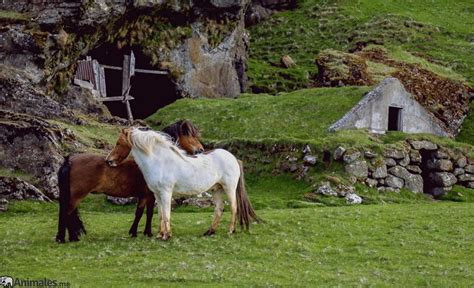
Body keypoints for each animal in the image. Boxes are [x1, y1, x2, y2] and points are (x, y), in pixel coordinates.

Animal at [56, 119, 204, 243]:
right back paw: (66, 238)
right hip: (76, 196)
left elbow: (142, 213)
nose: (201, 150)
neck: (155, 159)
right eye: (191, 135)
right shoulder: (149, 195)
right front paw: (145, 232)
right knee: (67, 212)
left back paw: (68, 237)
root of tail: (69, 160)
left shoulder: (146, 196)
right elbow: (146, 213)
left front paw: (137, 232)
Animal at [107, 127, 260, 240]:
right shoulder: (157, 194)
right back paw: (209, 232)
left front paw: (166, 236)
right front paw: (160, 234)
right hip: (216, 189)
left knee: (233, 207)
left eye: (119, 143)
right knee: (219, 208)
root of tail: (233, 158)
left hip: (229, 188)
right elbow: (161, 214)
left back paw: (230, 231)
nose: (109, 161)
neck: (159, 161)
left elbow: (166, 214)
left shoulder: (166, 193)